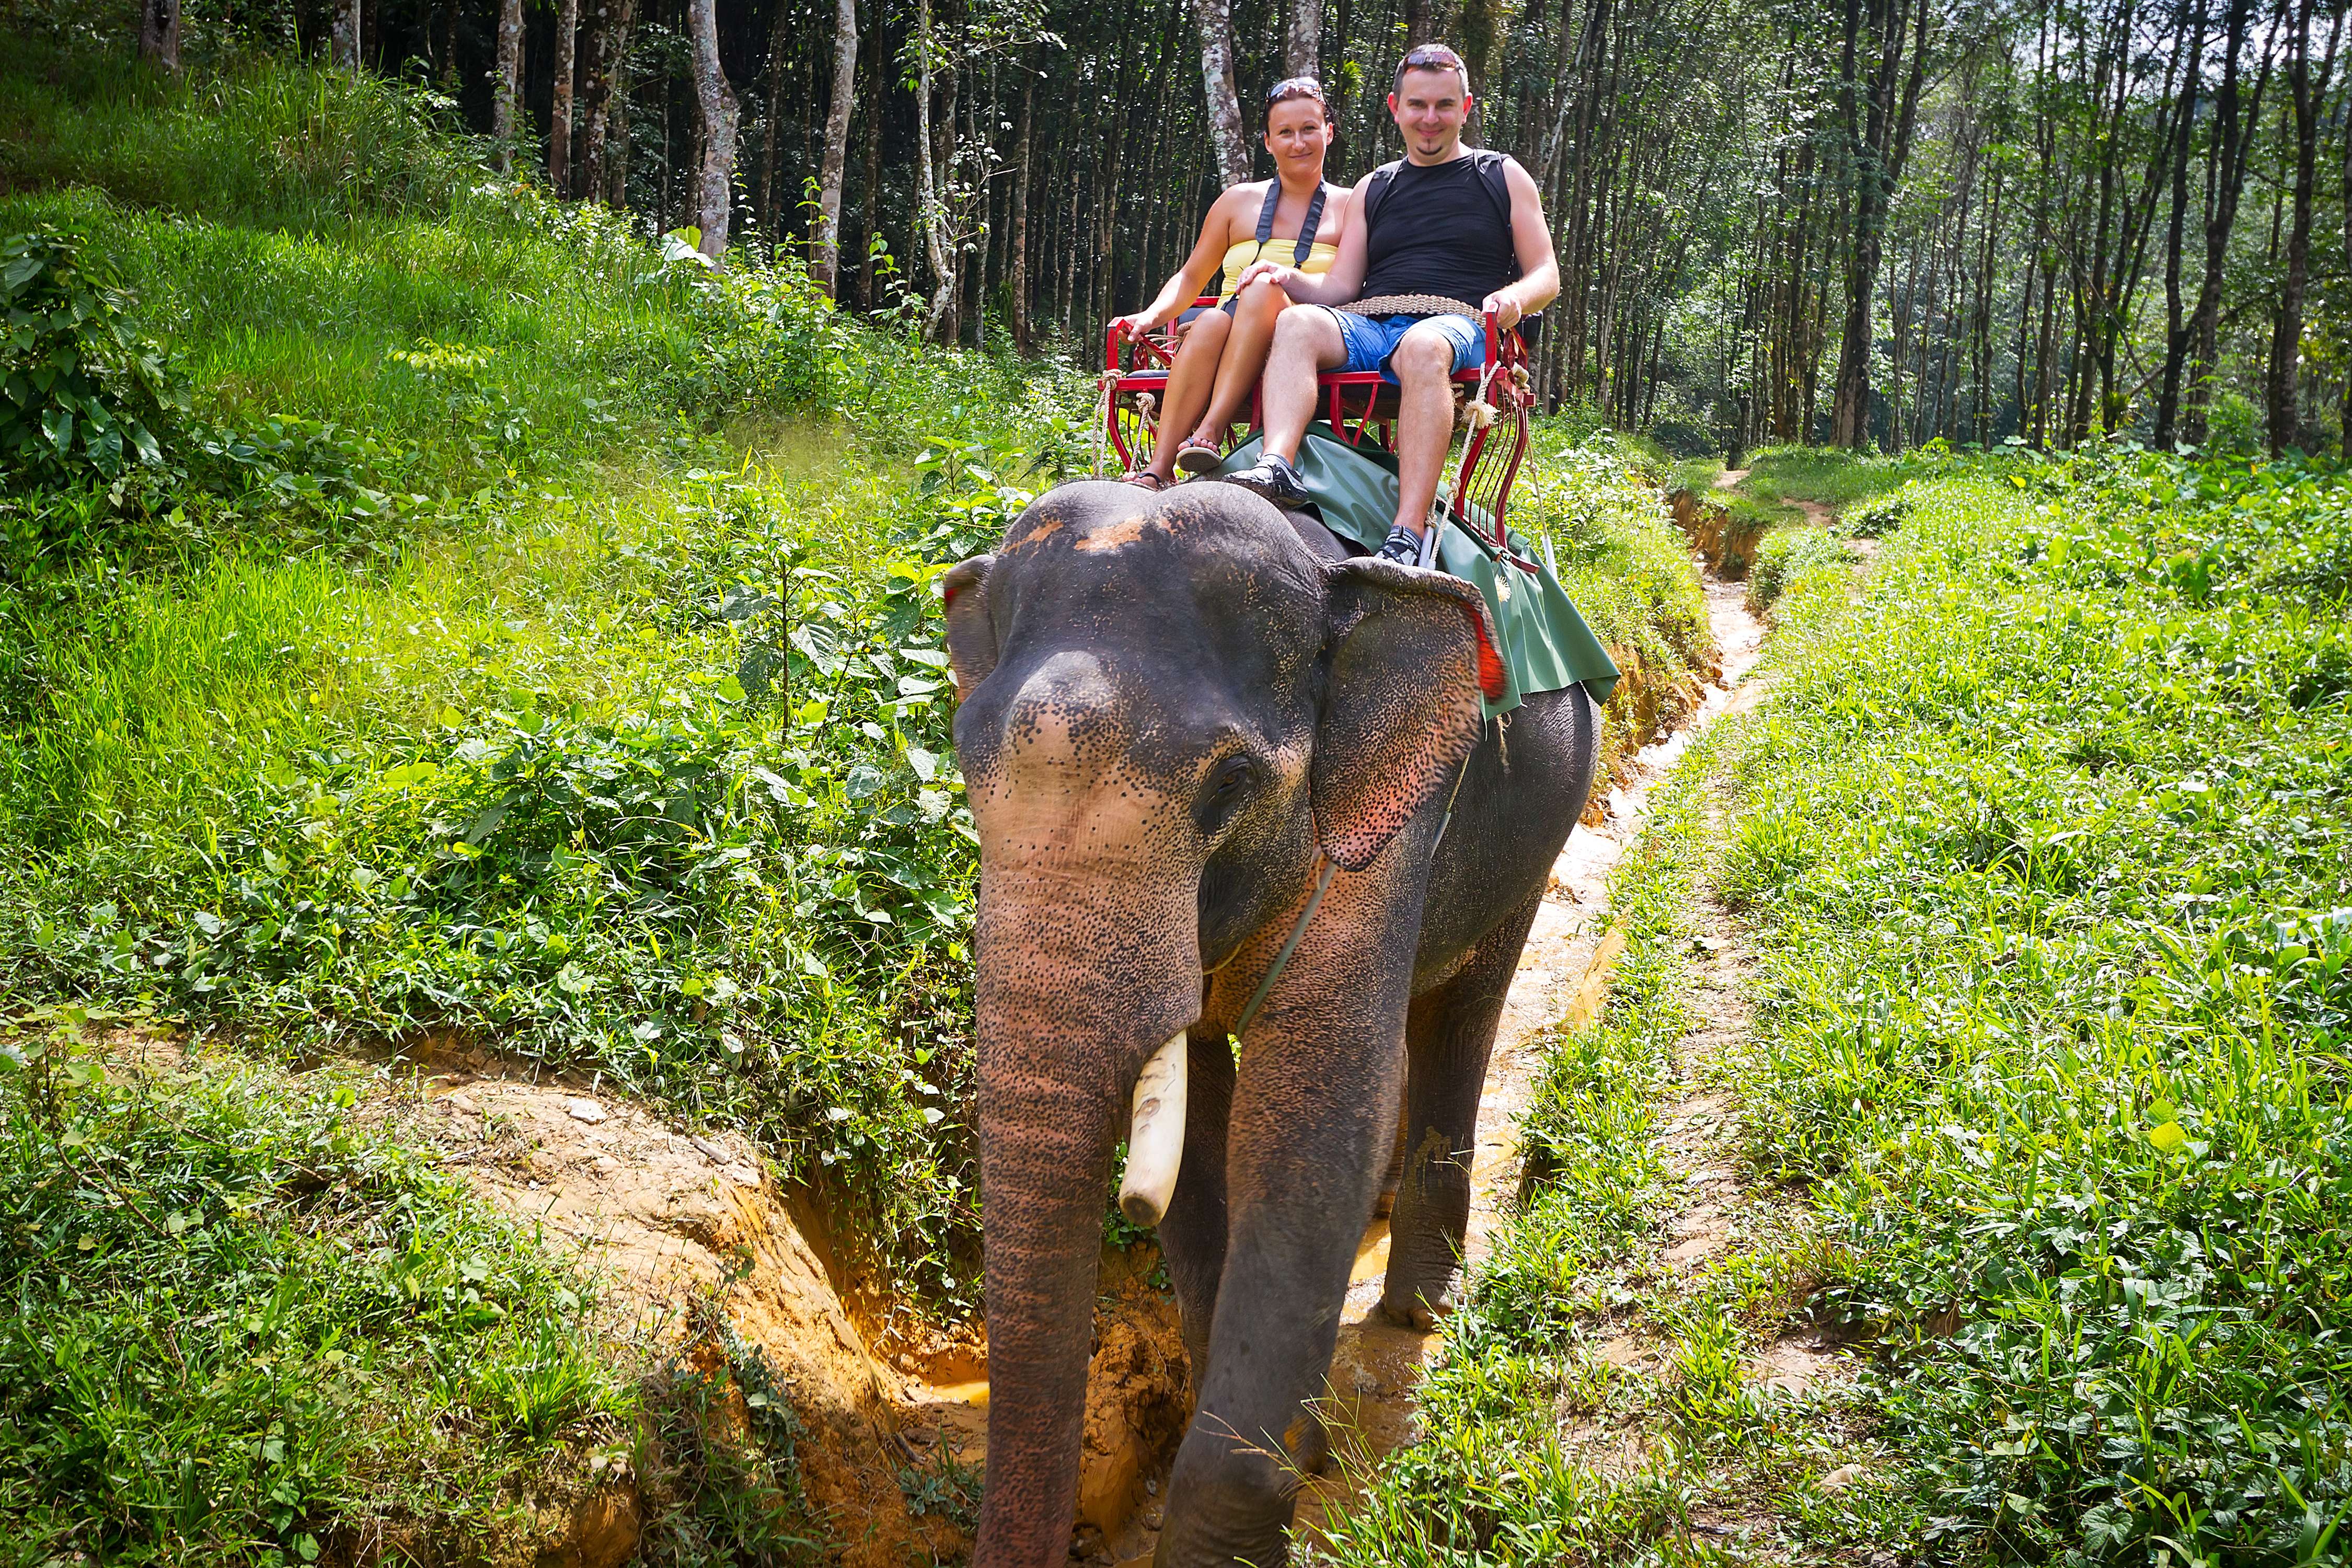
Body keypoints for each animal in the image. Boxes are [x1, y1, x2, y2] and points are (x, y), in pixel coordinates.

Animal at [941, 476, 1601, 1568]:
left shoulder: (1383, 826)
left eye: (1228, 786)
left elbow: (1312, 1123)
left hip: (1543, 820)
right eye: (961, 762)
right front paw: (1297, 1434)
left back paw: (1420, 1304)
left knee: (1461, 1011)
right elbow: (1203, 1130)